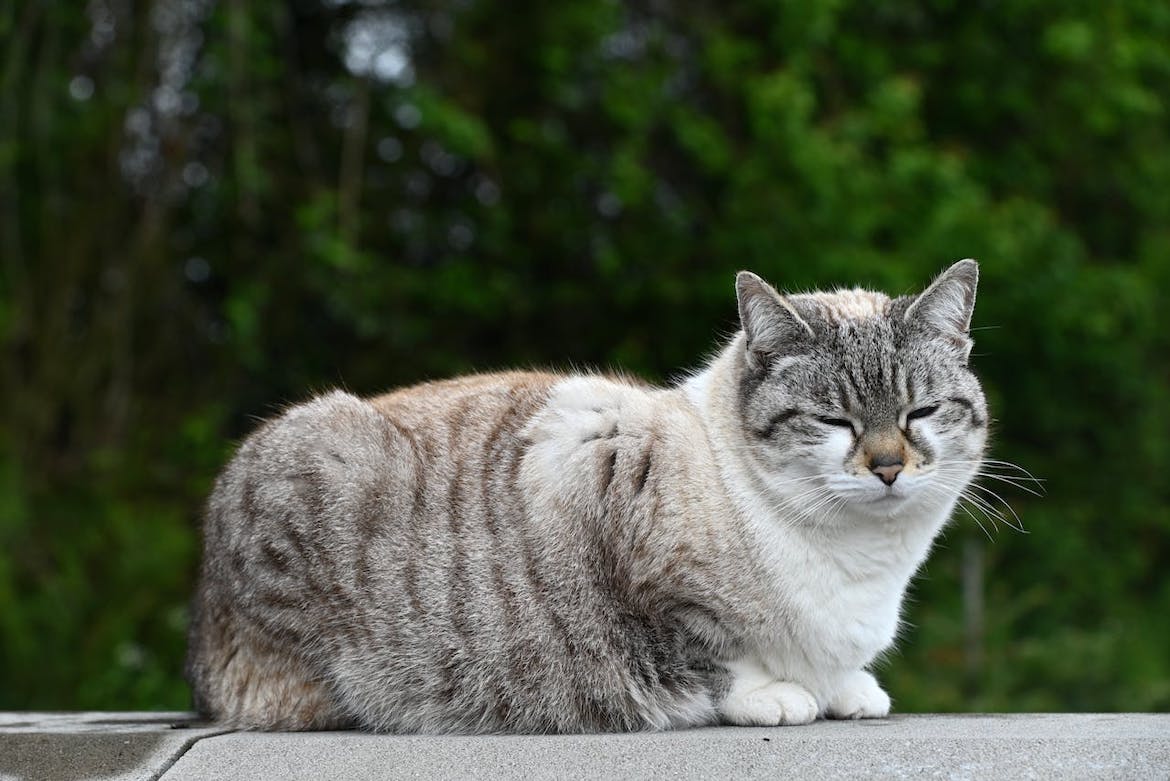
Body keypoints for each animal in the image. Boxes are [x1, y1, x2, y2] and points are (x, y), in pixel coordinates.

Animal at [189, 260, 987, 734]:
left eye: (917, 413)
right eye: (834, 421)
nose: (888, 468)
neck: (860, 557)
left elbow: (837, 670)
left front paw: (849, 687)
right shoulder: (622, 523)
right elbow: (719, 655)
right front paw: (784, 693)